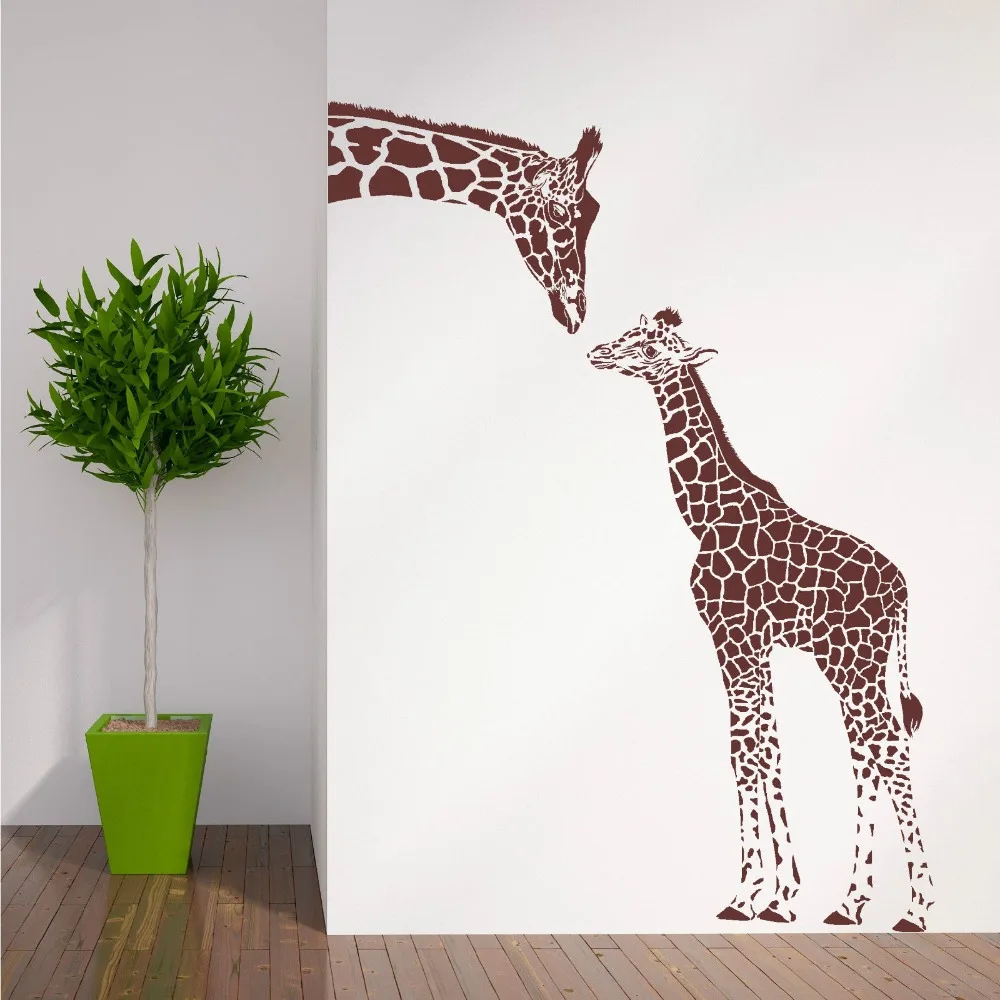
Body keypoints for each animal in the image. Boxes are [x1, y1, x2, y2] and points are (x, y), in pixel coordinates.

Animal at [587, 309, 933, 932]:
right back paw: (849, 903)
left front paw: (756, 895)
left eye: (650, 347)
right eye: (629, 332)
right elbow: (759, 746)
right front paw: (774, 896)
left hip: (858, 663)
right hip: (847, 666)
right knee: (866, 754)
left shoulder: (733, 637)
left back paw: (915, 909)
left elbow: (747, 751)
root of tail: (902, 590)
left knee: (889, 748)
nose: (598, 352)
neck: (706, 516)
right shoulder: (752, 644)